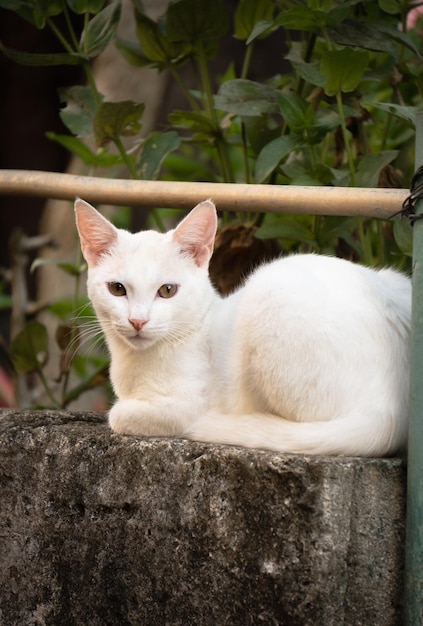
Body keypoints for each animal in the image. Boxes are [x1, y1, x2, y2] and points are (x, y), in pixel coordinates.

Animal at [74, 197, 412, 456]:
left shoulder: (185, 406)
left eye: (167, 290)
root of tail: (392, 410)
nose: (138, 320)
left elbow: (118, 415)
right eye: (117, 289)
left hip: (269, 297)